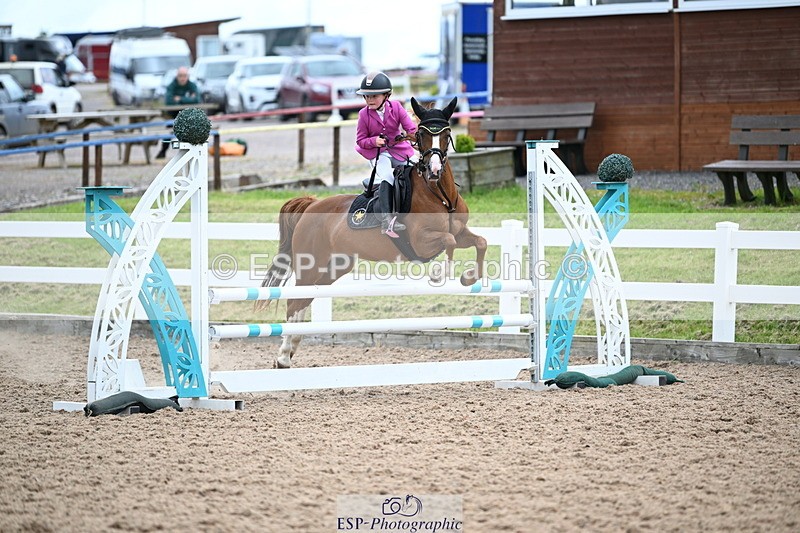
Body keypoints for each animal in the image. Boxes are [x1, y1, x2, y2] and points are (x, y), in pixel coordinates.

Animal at [260, 96, 487, 368]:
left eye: (446, 133)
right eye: (421, 134)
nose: (434, 170)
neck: (440, 195)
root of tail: (312, 205)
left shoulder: (462, 232)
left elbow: (479, 242)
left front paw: (469, 278)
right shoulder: (421, 242)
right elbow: (449, 241)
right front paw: (438, 274)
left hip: (334, 267)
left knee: (304, 300)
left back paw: (290, 350)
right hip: (311, 265)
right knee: (294, 302)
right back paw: (284, 355)